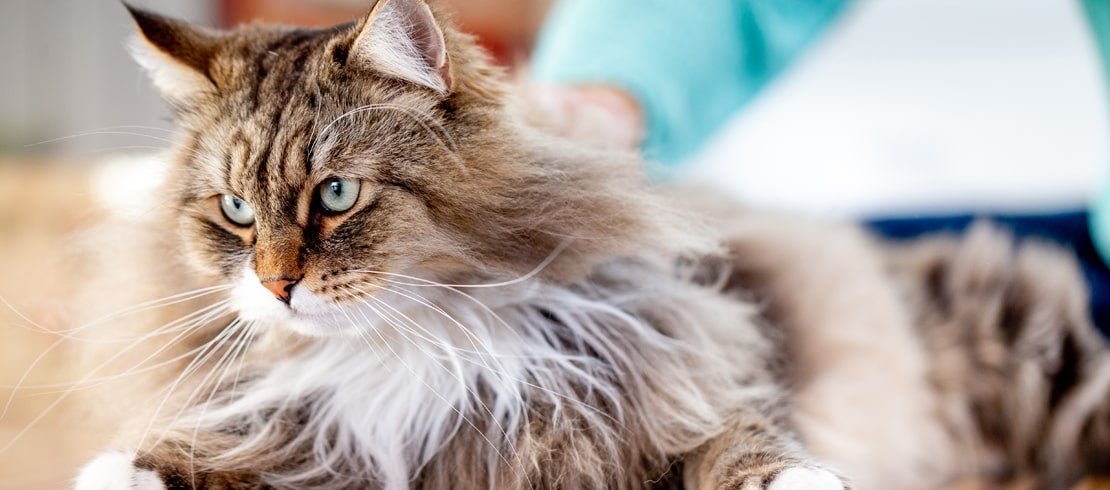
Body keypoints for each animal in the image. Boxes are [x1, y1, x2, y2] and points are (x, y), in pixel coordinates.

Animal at [71, 0, 1110, 488]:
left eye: (335, 195)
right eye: (235, 212)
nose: (277, 285)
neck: (414, 352)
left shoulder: (685, 374)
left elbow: (740, 444)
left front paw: (802, 479)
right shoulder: (330, 433)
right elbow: (218, 448)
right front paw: (127, 468)